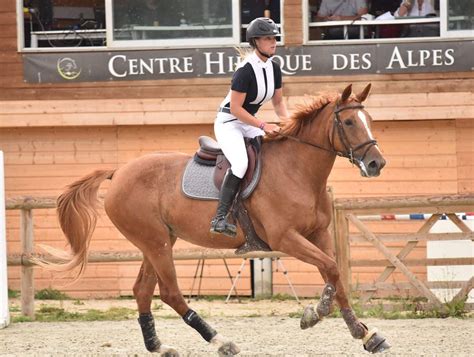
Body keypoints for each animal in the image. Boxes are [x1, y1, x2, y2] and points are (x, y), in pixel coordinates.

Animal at [36, 83, 388, 354]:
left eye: (369, 119)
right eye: (349, 122)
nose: (376, 164)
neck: (297, 170)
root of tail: (118, 171)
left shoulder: (318, 234)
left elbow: (335, 273)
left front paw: (364, 333)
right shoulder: (285, 238)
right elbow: (331, 269)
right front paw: (317, 312)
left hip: (157, 241)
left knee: (142, 290)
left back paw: (159, 347)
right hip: (156, 242)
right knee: (170, 293)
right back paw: (220, 341)